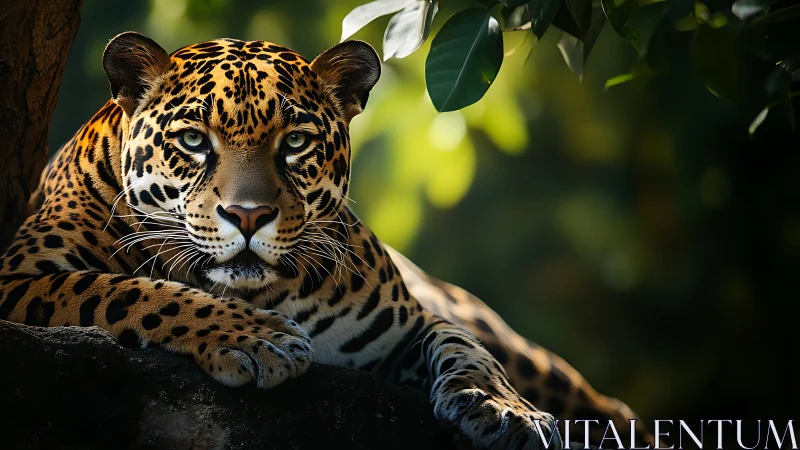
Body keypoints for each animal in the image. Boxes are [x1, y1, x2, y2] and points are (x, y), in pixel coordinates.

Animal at [0, 32, 653, 449]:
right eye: (192, 140)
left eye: (294, 143)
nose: (248, 215)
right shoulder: (16, 277)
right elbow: (129, 289)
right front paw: (258, 341)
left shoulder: (407, 324)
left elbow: (467, 350)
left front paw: (504, 410)